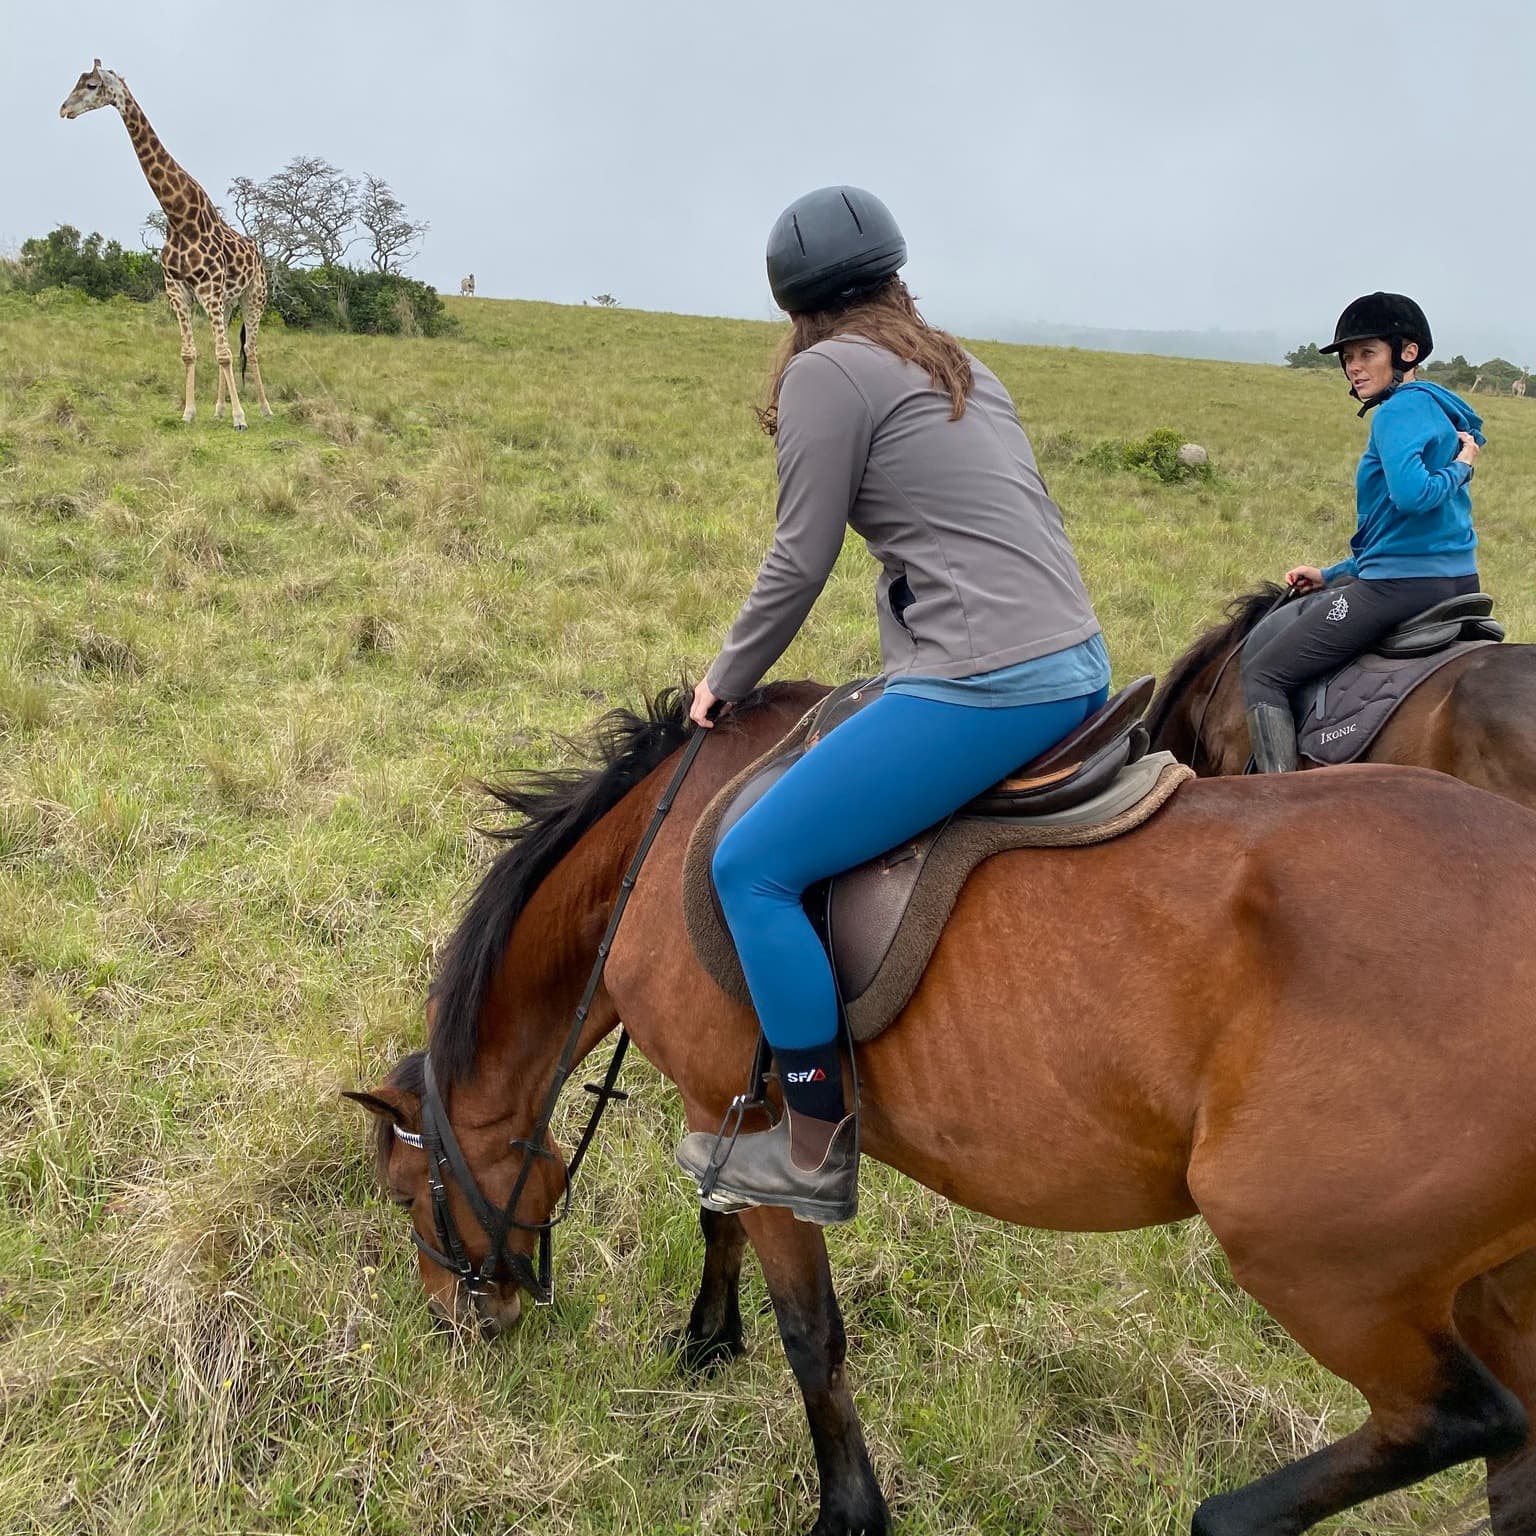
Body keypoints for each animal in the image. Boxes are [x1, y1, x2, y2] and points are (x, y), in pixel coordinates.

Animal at [348, 681, 1536, 1536]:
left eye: (410, 1192)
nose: (457, 1322)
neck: (661, 843)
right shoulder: (719, 1102)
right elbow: (716, 1219)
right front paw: (705, 1344)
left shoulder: (759, 1133)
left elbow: (811, 1335)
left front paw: (846, 1511)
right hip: (1482, 1279)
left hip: (1321, 1268)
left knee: (1461, 1417)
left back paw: (1231, 1518)